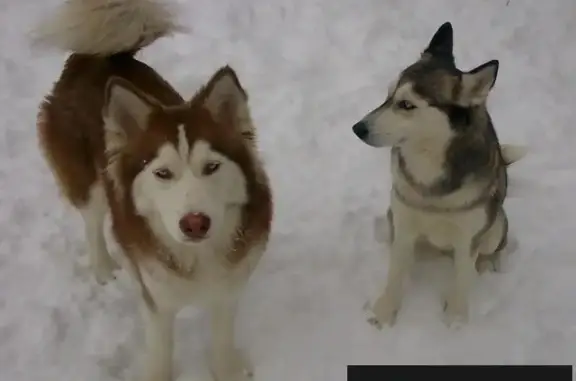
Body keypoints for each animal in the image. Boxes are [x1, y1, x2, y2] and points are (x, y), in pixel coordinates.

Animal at [33, 1, 272, 378]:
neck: (198, 257)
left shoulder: (228, 289)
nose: (195, 223)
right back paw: (103, 268)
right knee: (92, 222)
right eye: (162, 173)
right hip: (89, 183)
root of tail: (98, 57)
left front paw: (227, 370)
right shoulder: (156, 297)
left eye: (211, 167)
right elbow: (161, 347)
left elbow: (221, 335)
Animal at [352, 22, 528, 326]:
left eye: (407, 105)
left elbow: (462, 277)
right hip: (393, 219)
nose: (357, 128)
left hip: (496, 227)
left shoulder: (468, 237)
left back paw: (485, 265)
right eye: (388, 96)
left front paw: (456, 321)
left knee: (486, 253)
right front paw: (385, 314)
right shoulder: (404, 222)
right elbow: (395, 273)